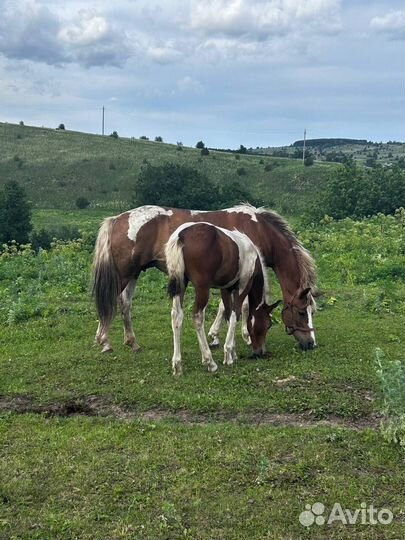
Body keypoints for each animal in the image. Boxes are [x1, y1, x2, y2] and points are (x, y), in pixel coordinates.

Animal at [93, 205, 318, 352]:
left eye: (311, 312)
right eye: (301, 312)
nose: (311, 343)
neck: (258, 229)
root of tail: (117, 219)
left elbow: (225, 306)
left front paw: (216, 336)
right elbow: (242, 307)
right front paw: (243, 336)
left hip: (134, 273)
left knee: (125, 303)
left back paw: (132, 342)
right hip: (124, 274)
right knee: (112, 302)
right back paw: (104, 341)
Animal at [163, 223, 280, 376]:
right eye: (268, 325)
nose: (260, 352)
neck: (252, 256)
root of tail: (181, 235)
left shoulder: (226, 289)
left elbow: (228, 314)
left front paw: (233, 353)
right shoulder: (243, 286)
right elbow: (236, 314)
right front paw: (228, 353)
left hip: (181, 284)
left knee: (176, 316)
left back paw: (177, 366)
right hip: (202, 288)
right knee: (198, 316)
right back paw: (210, 362)